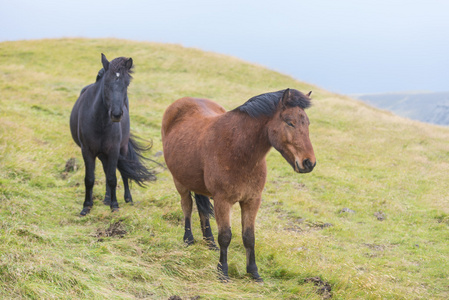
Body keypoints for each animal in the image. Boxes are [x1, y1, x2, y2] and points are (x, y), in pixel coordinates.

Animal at [69, 54, 155, 216]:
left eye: (126, 84)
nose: (116, 114)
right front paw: (87, 206)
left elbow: (112, 177)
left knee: (122, 172)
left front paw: (114, 206)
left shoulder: (114, 150)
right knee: (106, 168)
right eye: (106, 83)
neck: (100, 122)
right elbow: (90, 178)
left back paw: (127, 199)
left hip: (122, 148)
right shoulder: (87, 151)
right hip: (102, 154)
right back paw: (106, 198)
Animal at [161, 88, 316, 280]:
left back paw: (209, 243)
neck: (237, 149)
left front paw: (254, 273)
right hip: (180, 182)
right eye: (290, 123)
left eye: (307, 123)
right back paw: (188, 239)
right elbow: (225, 236)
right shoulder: (222, 201)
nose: (309, 163)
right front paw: (223, 272)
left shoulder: (252, 200)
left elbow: (249, 236)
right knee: (187, 207)